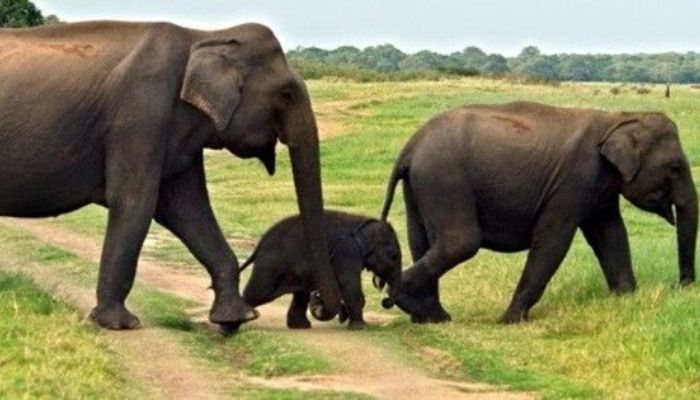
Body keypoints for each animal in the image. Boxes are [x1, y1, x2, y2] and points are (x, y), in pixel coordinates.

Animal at [0, 21, 342, 329]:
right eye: (286, 94)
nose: (318, 303)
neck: (205, 36)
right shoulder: (142, 113)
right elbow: (136, 202)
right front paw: (119, 324)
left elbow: (188, 210)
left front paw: (236, 318)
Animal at [239, 210, 402, 330]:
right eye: (394, 256)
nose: (384, 301)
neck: (363, 222)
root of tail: (260, 243)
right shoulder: (347, 253)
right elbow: (349, 283)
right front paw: (361, 327)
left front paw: (344, 315)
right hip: (270, 267)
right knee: (258, 292)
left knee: (301, 294)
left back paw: (301, 326)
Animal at [380, 101, 698, 324]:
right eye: (675, 168)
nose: (680, 286)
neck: (617, 118)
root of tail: (410, 147)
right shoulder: (573, 180)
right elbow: (554, 240)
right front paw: (510, 321)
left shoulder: (601, 188)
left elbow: (611, 235)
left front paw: (627, 300)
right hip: (444, 179)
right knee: (459, 243)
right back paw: (401, 299)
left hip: (420, 184)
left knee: (422, 242)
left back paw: (431, 317)